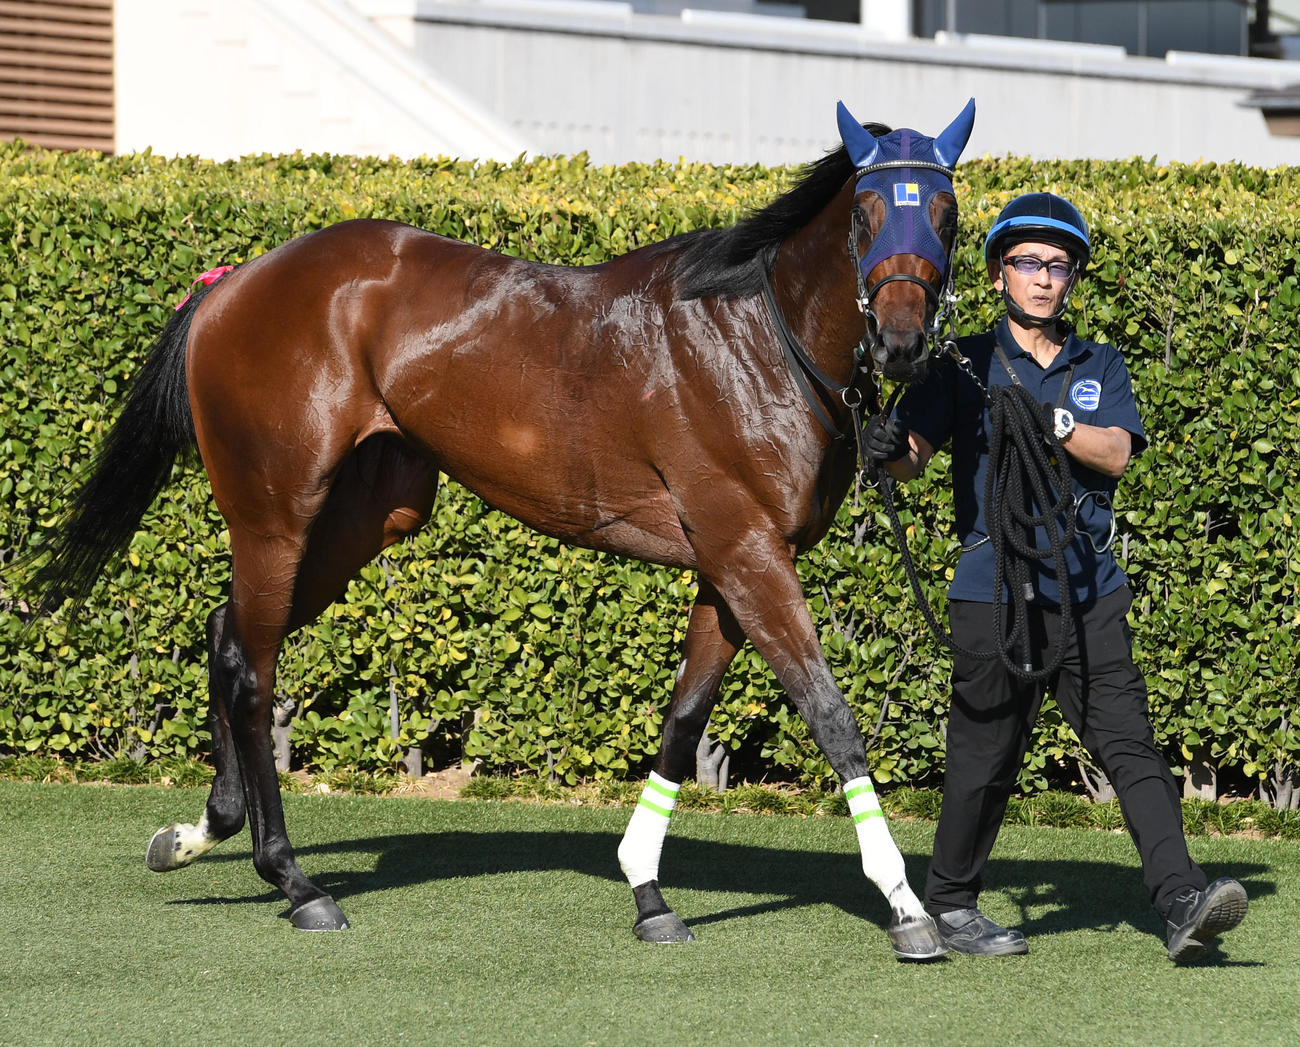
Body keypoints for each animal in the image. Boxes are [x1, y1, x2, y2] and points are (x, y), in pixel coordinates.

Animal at [31, 99, 975, 961]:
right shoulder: (749, 553)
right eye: (866, 209)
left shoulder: (727, 563)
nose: (901, 341)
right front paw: (906, 905)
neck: (752, 337)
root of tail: (230, 282)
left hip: (366, 515)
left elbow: (683, 716)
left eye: (943, 210)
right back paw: (295, 880)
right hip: (274, 514)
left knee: (226, 631)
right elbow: (831, 714)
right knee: (252, 669)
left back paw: (201, 831)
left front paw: (648, 889)